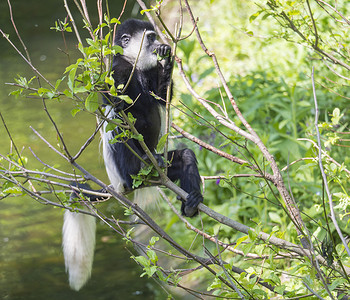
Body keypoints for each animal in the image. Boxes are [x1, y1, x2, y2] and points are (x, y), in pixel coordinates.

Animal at [62, 18, 202, 290]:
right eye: (150, 38)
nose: (159, 45)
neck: (135, 66)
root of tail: (120, 185)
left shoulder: (148, 74)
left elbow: (162, 97)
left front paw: (166, 59)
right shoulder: (117, 74)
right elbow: (118, 112)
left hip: (164, 171)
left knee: (186, 157)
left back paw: (191, 203)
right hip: (129, 170)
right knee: (119, 130)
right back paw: (149, 160)